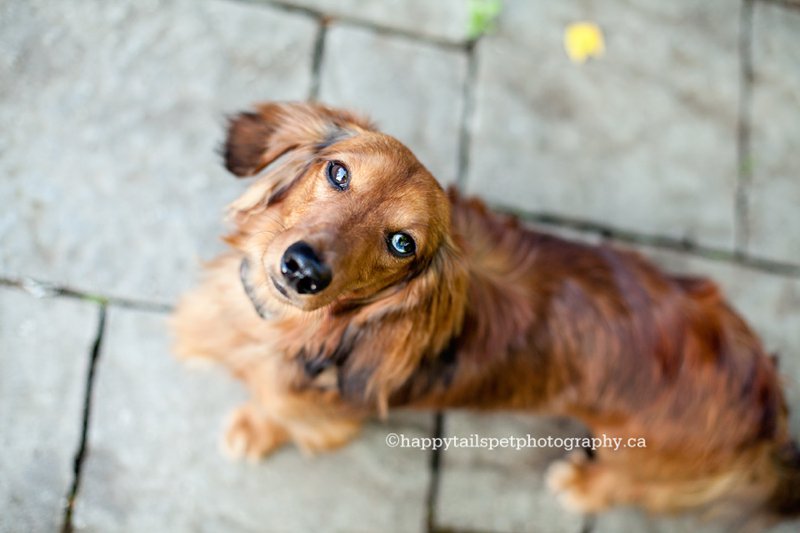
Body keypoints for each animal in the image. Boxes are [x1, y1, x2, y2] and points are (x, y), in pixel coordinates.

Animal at [173, 102, 800, 520]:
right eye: (338, 172)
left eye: (402, 243)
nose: (302, 269)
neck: (275, 324)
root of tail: (769, 407)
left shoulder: (321, 415)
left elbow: (277, 412)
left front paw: (254, 429)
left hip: (637, 454)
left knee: (634, 486)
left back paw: (582, 484)